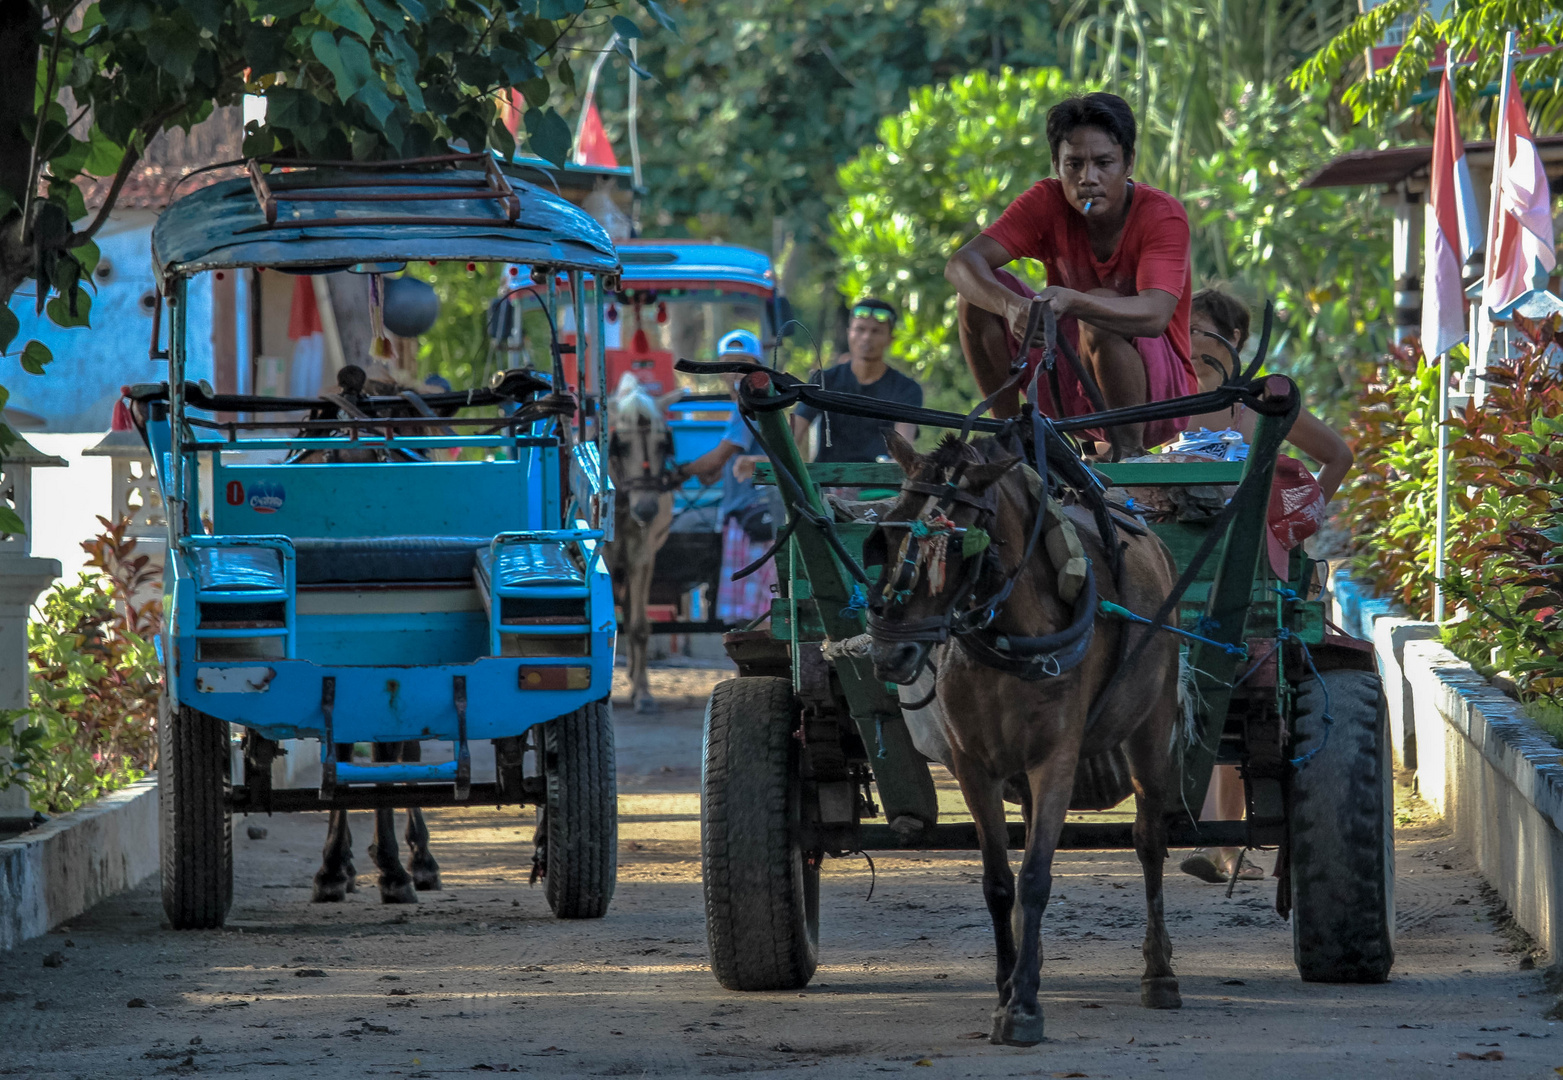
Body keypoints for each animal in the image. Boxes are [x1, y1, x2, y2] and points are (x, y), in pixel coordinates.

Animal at [869, 428, 1181, 1050]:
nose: (890, 652)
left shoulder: (1057, 758)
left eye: (954, 543)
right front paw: (1008, 985)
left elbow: (1036, 876)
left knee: (1149, 839)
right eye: (887, 530)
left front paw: (1024, 1008)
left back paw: (1159, 972)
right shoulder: (973, 766)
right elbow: (998, 882)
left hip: (1152, 725)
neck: (1011, 636)